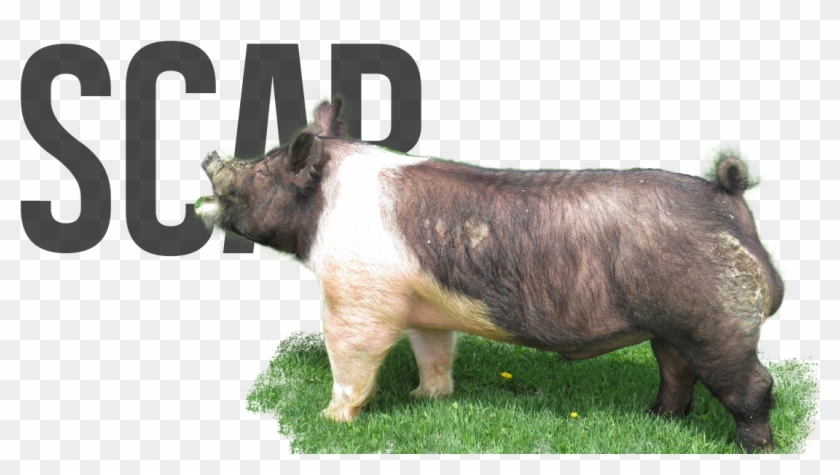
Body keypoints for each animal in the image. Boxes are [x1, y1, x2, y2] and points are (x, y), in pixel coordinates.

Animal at [196, 98, 784, 453]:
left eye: (257, 174)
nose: (209, 157)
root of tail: (726, 197)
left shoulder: (356, 293)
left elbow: (350, 354)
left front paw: (329, 419)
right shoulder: (423, 304)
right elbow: (434, 349)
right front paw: (426, 399)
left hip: (717, 322)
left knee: (752, 385)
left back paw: (754, 449)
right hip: (673, 328)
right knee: (677, 373)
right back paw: (657, 420)